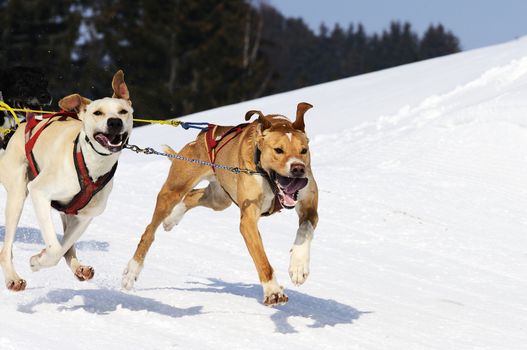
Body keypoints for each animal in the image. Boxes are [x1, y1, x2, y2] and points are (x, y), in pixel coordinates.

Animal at [0, 69, 132, 292]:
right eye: (97, 113)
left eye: (123, 111)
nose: (115, 122)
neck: (91, 164)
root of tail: (25, 124)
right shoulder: (39, 192)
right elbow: (55, 248)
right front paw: (37, 261)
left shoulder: (84, 216)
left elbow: (63, 246)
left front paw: (42, 258)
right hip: (18, 194)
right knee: (6, 248)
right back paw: (12, 278)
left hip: (67, 210)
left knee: (68, 247)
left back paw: (79, 268)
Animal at [122, 102, 318, 304]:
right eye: (278, 150)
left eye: (303, 150)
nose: (298, 168)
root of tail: (200, 137)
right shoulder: (248, 220)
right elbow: (261, 259)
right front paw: (273, 290)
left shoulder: (309, 205)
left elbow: (305, 228)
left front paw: (298, 267)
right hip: (173, 191)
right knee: (149, 231)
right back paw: (132, 271)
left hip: (220, 199)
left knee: (192, 196)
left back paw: (171, 220)